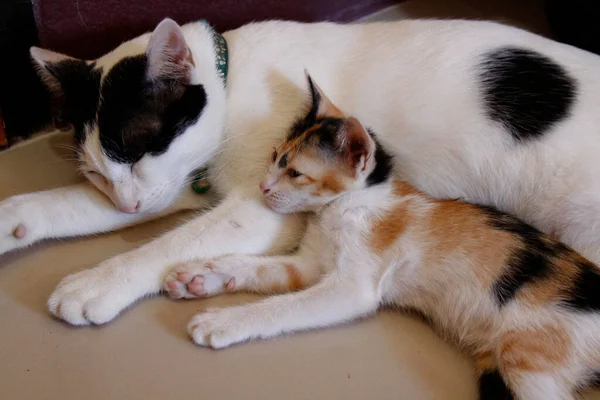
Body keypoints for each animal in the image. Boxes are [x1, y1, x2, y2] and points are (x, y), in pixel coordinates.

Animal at [3, 18, 600, 334]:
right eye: (98, 172)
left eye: (139, 152)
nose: (127, 207)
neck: (234, 77)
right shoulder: (180, 186)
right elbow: (68, 203)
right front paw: (14, 216)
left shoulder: (260, 206)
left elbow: (165, 245)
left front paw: (100, 281)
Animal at [166, 76, 600, 398]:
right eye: (274, 157)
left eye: (295, 173)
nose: (263, 186)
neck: (346, 206)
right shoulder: (308, 264)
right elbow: (258, 267)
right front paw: (200, 275)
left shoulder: (351, 287)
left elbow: (282, 307)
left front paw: (222, 321)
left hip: (527, 362)